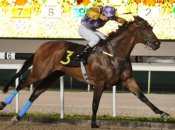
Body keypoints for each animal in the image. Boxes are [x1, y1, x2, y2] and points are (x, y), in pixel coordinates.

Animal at [0, 15, 170, 128]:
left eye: (151, 28)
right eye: (144, 29)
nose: (157, 43)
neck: (114, 53)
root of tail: (42, 47)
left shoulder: (127, 80)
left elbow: (143, 97)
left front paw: (162, 113)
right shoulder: (100, 82)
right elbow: (95, 103)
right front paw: (94, 123)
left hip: (53, 75)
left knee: (35, 93)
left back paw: (18, 116)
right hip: (40, 72)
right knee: (21, 84)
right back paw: (3, 105)